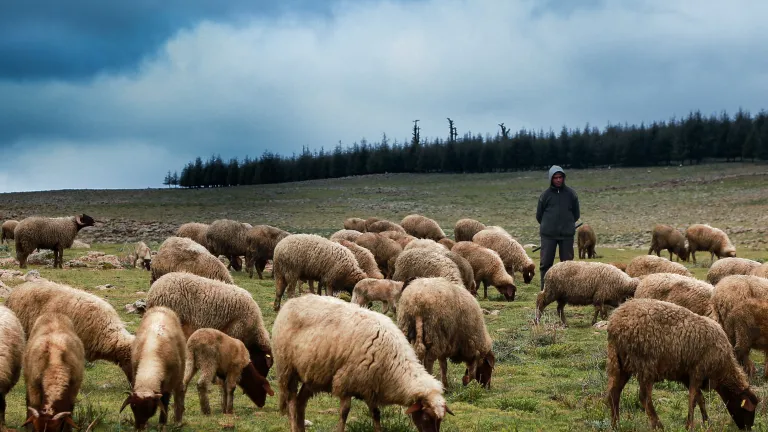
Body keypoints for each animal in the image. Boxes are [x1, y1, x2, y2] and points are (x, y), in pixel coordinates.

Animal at [272, 294, 453, 432]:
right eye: (426, 417)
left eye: (440, 420)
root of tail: (291, 302)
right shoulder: (347, 381)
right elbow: (344, 412)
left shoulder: (370, 385)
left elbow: (376, 414)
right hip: (287, 369)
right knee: (292, 402)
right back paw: (294, 426)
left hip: (313, 375)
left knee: (301, 403)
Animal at [606, 298, 759, 430]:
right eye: (747, 410)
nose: (748, 429)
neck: (722, 369)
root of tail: (615, 322)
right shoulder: (698, 371)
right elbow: (693, 399)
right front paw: (689, 426)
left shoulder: (687, 375)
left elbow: (700, 399)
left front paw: (706, 423)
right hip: (645, 365)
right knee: (644, 397)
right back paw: (658, 426)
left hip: (620, 363)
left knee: (614, 392)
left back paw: (616, 425)